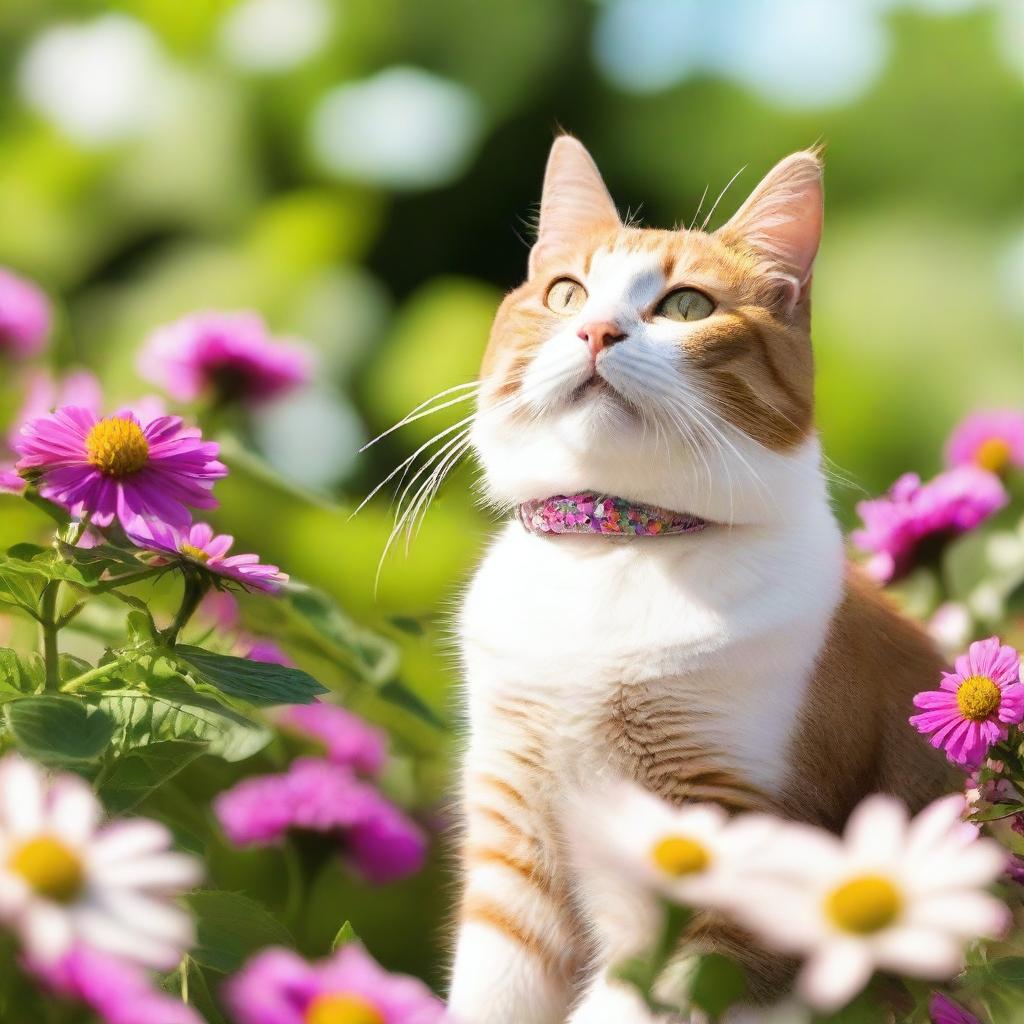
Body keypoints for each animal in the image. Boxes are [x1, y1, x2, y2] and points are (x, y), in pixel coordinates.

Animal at [448, 138, 950, 1024]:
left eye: (686, 307)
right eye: (566, 293)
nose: (596, 329)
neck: (618, 544)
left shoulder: (735, 864)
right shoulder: (513, 838)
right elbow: (490, 992)